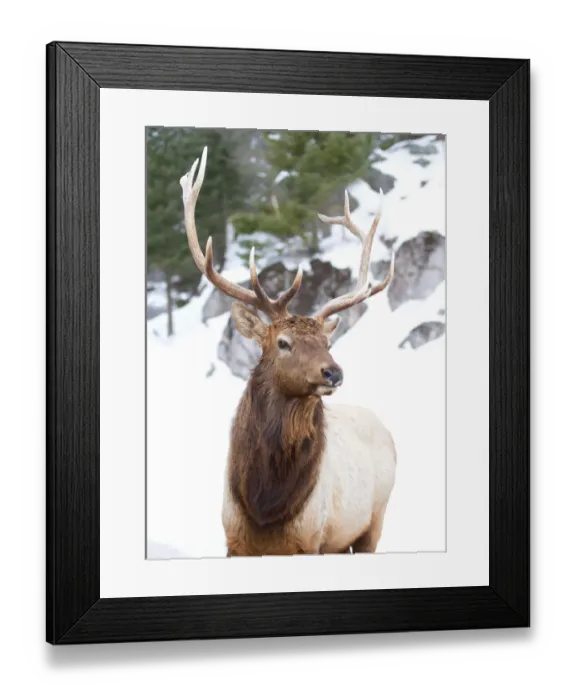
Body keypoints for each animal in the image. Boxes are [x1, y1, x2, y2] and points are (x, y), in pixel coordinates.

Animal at [180, 147, 397, 556]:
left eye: (328, 343)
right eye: (283, 342)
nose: (333, 372)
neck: (264, 507)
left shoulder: (309, 540)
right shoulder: (233, 541)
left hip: (372, 521)